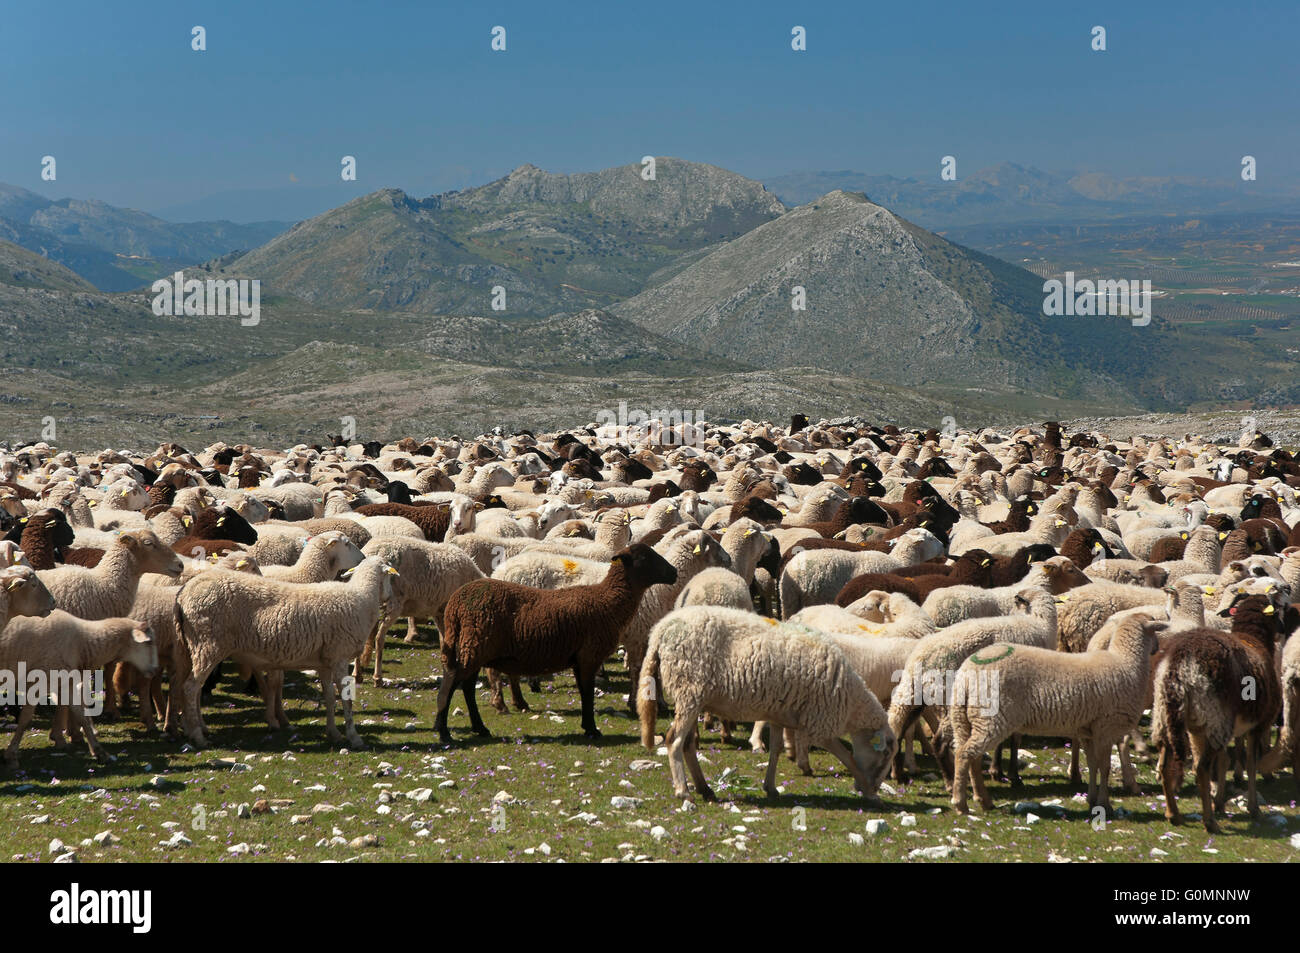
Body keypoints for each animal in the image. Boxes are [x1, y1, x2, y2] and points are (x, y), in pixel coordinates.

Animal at [174, 553, 395, 748]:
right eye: (389, 576)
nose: (390, 597)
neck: (362, 598)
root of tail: (183, 594)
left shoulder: (325, 662)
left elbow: (330, 698)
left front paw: (333, 733)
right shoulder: (340, 657)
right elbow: (346, 701)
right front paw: (354, 738)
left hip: (194, 647)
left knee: (193, 688)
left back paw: (196, 728)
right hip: (208, 644)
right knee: (190, 688)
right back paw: (198, 736)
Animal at [634, 605, 899, 800]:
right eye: (886, 753)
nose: (876, 785)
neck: (851, 703)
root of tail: (660, 631)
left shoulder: (779, 713)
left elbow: (776, 750)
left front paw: (770, 786)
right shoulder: (819, 720)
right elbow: (847, 756)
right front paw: (869, 790)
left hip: (692, 698)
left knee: (688, 744)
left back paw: (704, 789)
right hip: (689, 691)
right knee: (674, 740)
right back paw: (683, 791)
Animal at [941, 608, 1164, 811]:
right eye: (1154, 630)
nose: (1157, 648)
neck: (1126, 663)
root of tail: (967, 673)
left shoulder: (1088, 730)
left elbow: (1092, 764)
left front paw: (1092, 800)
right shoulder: (1106, 727)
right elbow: (1105, 767)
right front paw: (1105, 804)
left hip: (964, 718)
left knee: (971, 756)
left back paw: (983, 800)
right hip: (991, 718)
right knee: (964, 754)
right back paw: (960, 803)